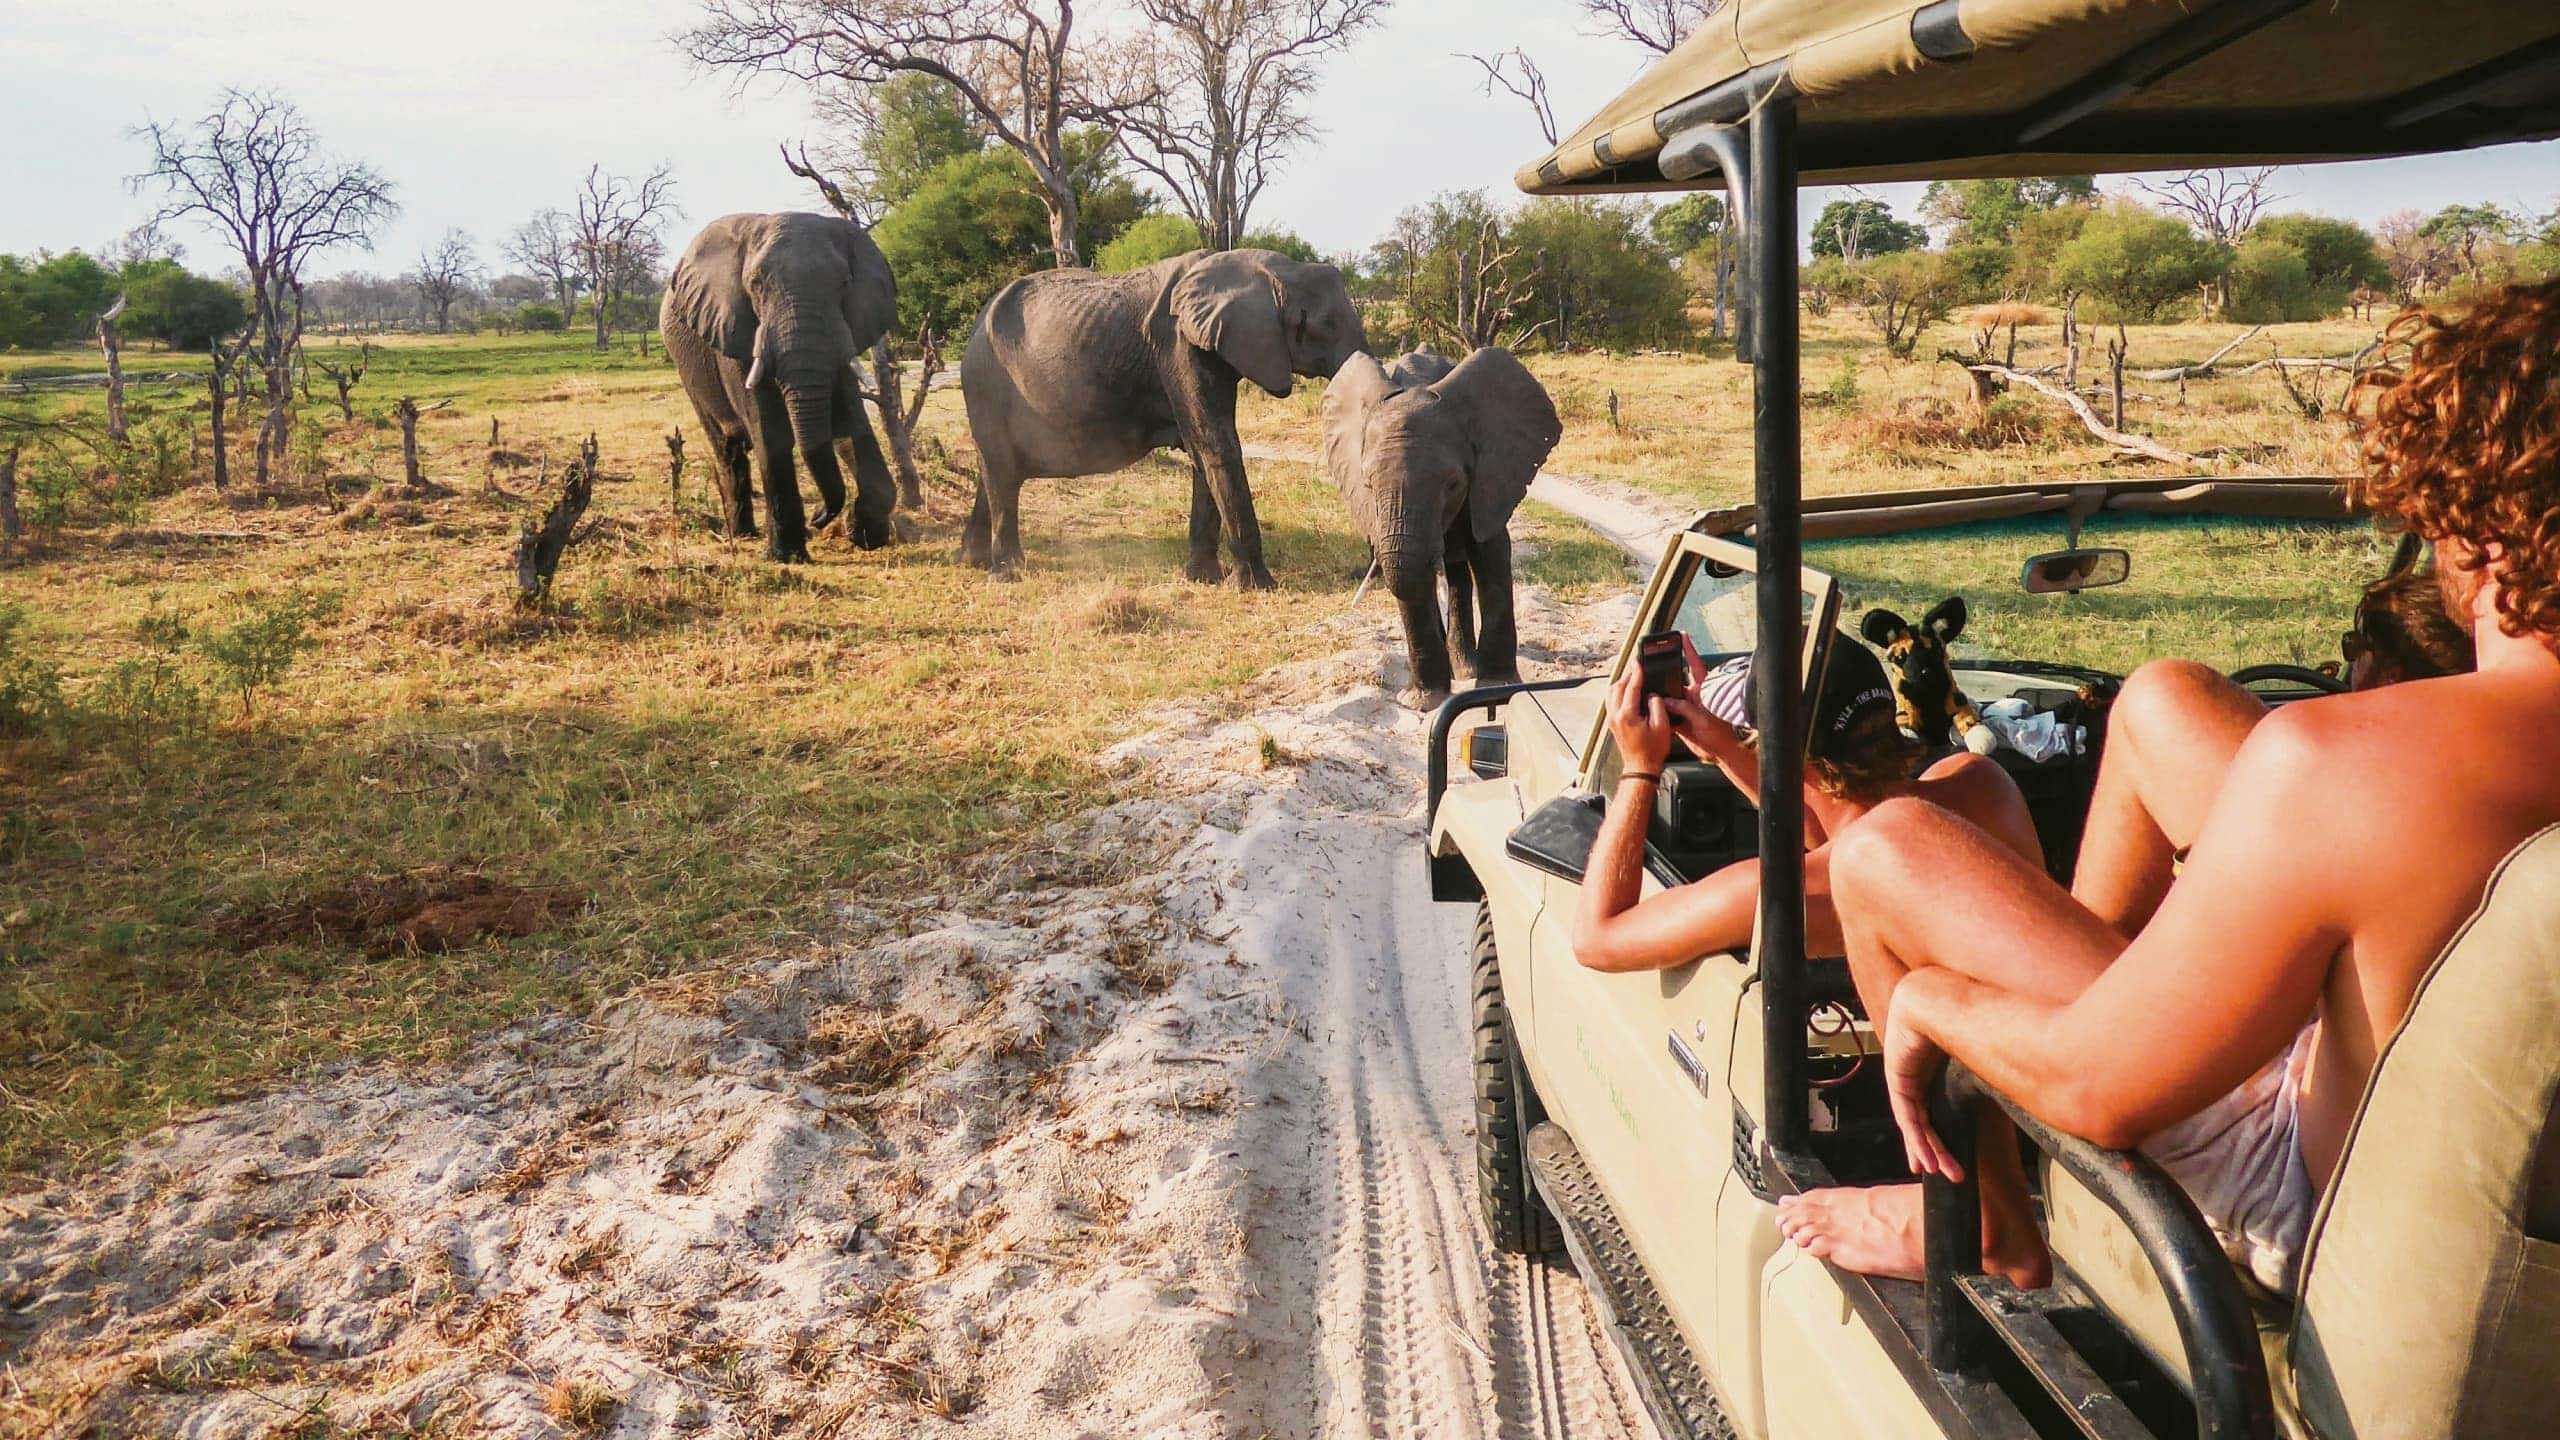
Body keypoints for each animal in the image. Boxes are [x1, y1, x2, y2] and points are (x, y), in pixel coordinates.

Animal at [662, 212, 898, 563]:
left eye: (843, 284)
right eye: (756, 285)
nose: (818, 517)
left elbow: (851, 424)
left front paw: (865, 535)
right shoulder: (735, 330)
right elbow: (770, 432)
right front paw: (787, 557)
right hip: (687, 368)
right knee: (726, 447)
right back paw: (742, 534)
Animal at [958, 248, 1366, 585]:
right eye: (1319, 324)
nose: (1359, 572)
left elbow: (1204, 453)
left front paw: (1205, 579)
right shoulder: (1178, 346)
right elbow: (1217, 446)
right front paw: (1258, 586)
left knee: (992, 472)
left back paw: (971, 561)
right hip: (986, 382)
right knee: (1000, 473)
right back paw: (1007, 574)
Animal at [1321, 347, 1562, 705]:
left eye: (1452, 484)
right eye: (1367, 484)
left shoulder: (1493, 475)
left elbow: (1491, 555)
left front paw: (1498, 686)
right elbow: (1409, 579)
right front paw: (1424, 702)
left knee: (1458, 572)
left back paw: (1466, 670)